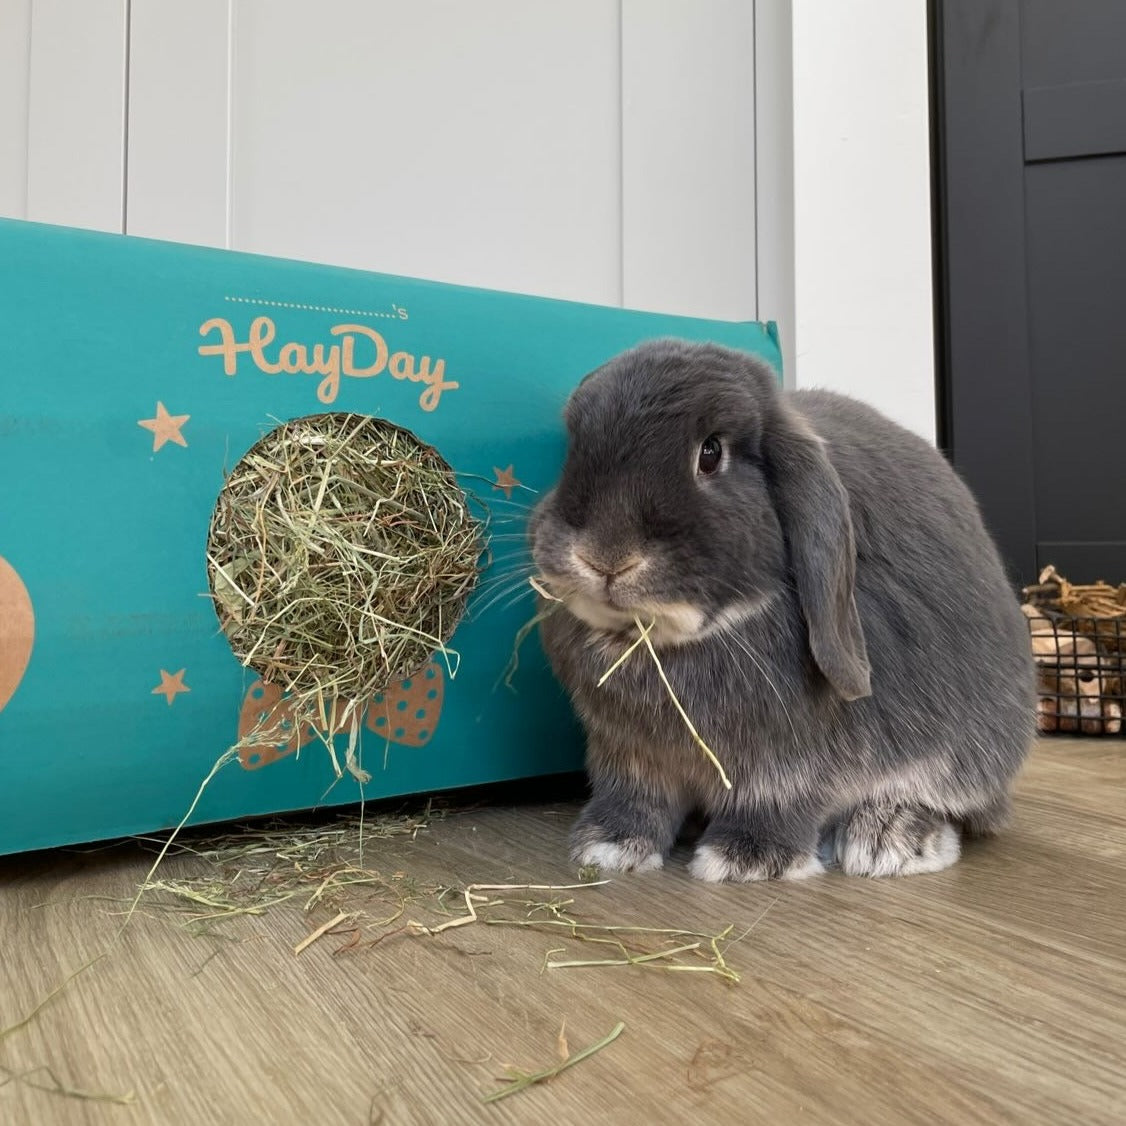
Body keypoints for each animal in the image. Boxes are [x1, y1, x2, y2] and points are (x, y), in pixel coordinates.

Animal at [529, 337, 1035, 882]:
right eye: (574, 447)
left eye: (712, 453)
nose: (604, 557)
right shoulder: (629, 757)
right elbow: (633, 800)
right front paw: (607, 846)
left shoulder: (789, 766)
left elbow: (776, 803)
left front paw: (746, 860)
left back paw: (888, 840)